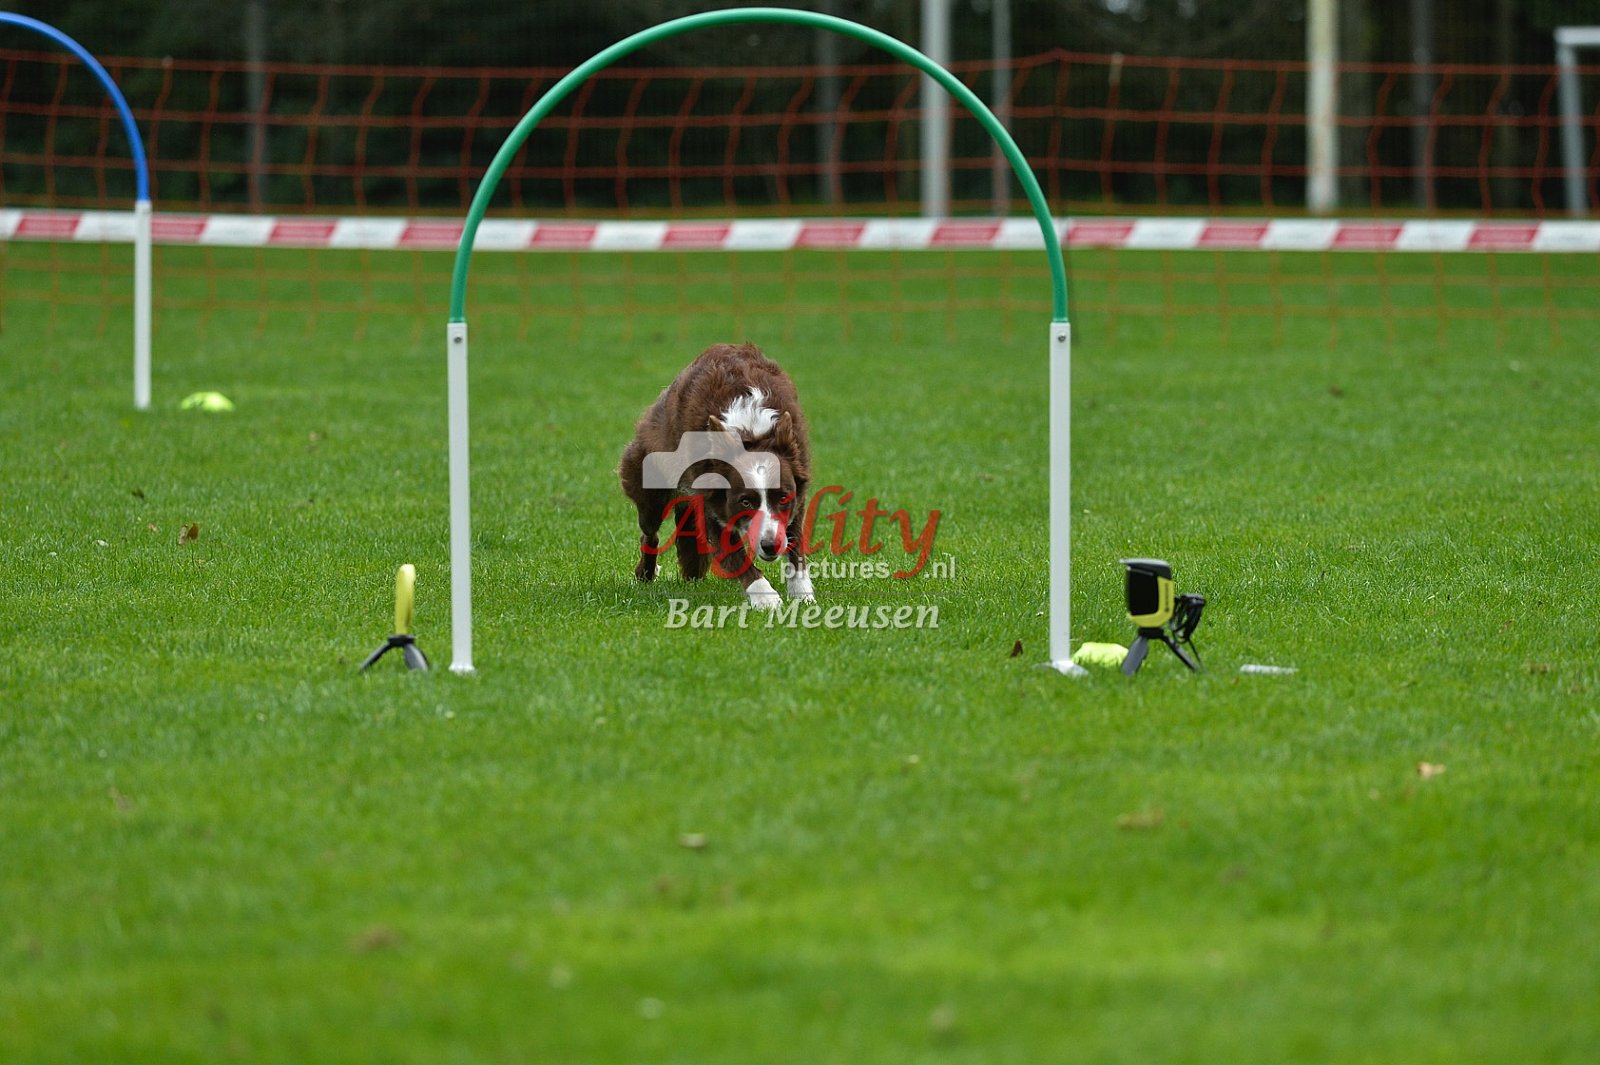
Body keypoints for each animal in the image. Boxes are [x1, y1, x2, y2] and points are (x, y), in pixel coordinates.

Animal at [619, 342, 814, 609]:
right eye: (745, 501)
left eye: (783, 498)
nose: (770, 546)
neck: (749, 432)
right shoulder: (711, 502)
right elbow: (735, 554)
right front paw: (766, 598)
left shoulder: (796, 498)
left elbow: (796, 544)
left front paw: (803, 594)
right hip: (650, 488)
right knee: (650, 534)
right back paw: (646, 574)